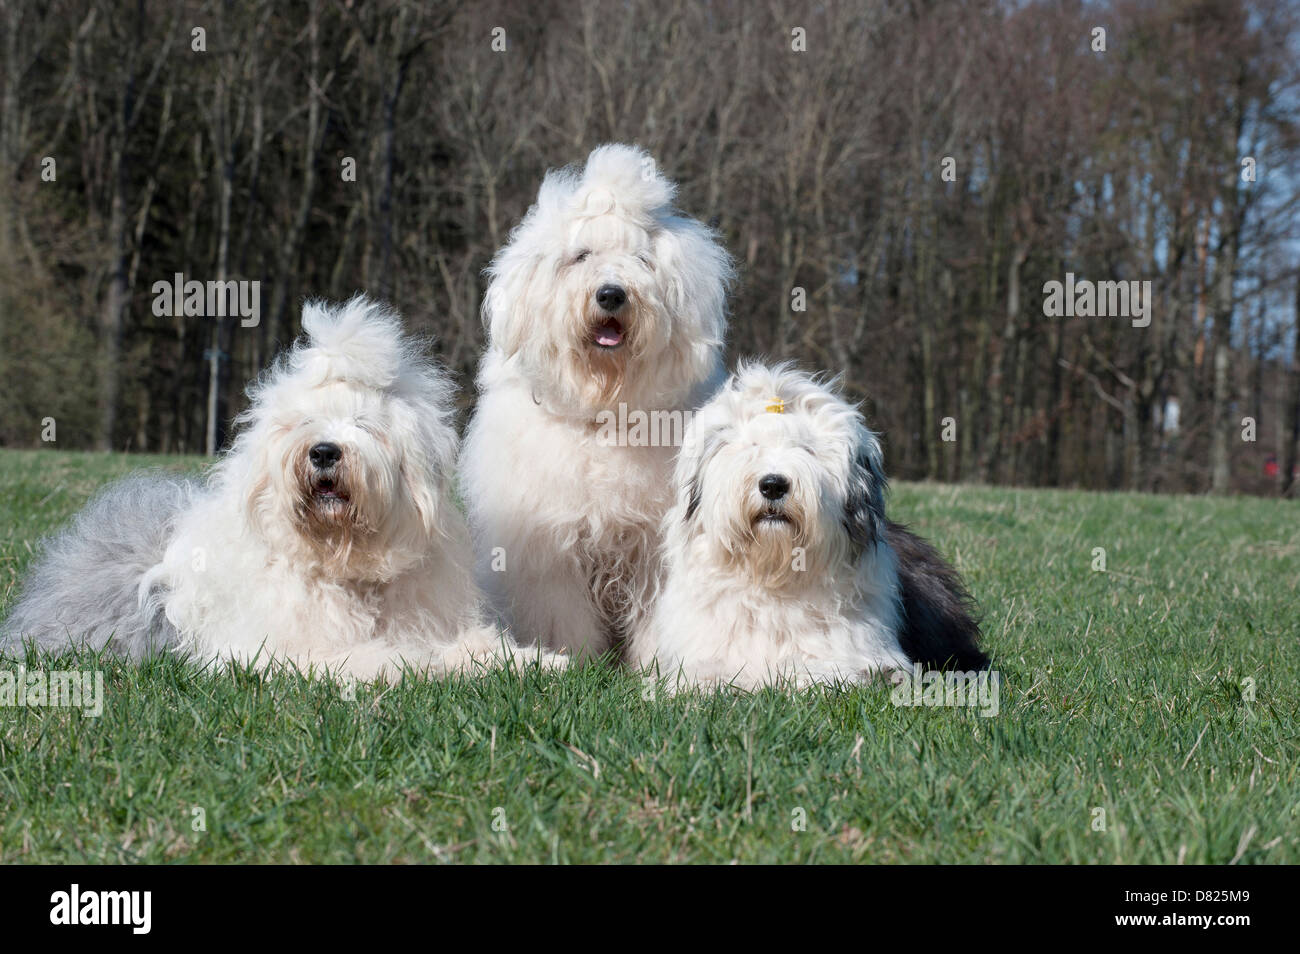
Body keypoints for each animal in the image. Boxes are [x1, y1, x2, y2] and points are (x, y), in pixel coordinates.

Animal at [0, 298, 553, 681]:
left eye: (364, 424)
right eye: (303, 422)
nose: (325, 452)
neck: (344, 568)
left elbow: (479, 646)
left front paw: (542, 662)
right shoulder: (277, 651)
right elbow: (375, 658)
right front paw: (417, 664)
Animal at [465, 145, 733, 657]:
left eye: (643, 259)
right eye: (581, 256)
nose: (611, 294)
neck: (603, 414)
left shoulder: (651, 548)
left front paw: (653, 662)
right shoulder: (551, 546)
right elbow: (563, 617)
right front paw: (577, 660)